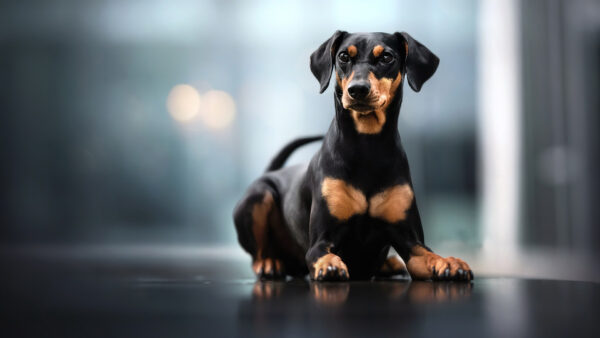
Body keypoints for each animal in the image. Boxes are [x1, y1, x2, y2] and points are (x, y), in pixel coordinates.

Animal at [234, 30, 474, 282]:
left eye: (387, 57)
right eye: (343, 57)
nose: (358, 89)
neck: (367, 146)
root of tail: (272, 173)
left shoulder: (410, 240)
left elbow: (427, 254)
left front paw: (450, 262)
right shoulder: (321, 240)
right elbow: (320, 253)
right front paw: (329, 264)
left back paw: (389, 264)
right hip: (259, 197)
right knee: (259, 252)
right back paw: (269, 263)